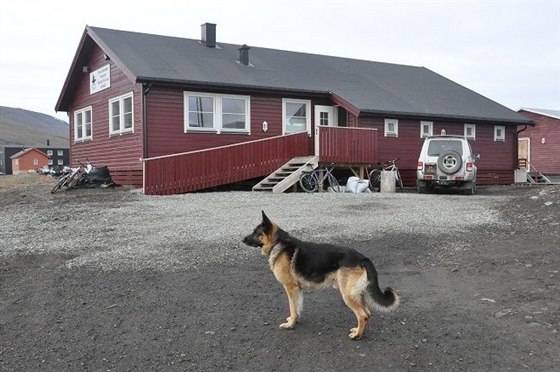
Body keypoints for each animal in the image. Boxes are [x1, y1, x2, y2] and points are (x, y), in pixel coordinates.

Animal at [243, 211, 400, 338]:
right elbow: (297, 307)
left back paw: (357, 336)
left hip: (347, 295)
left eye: (256, 232)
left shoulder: (290, 288)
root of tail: (362, 257)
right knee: (367, 313)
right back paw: (358, 331)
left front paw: (290, 324)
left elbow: (292, 307)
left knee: (362, 315)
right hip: (356, 293)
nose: (242, 240)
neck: (278, 242)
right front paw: (294, 320)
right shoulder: (298, 290)